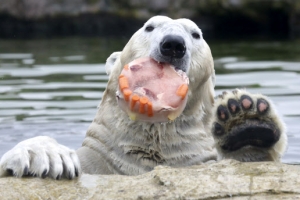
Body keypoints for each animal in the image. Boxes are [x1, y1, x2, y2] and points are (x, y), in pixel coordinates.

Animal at [0, 16, 288, 180]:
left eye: (196, 34)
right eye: (149, 26)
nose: (173, 44)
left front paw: (244, 119)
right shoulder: (99, 162)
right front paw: (45, 157)